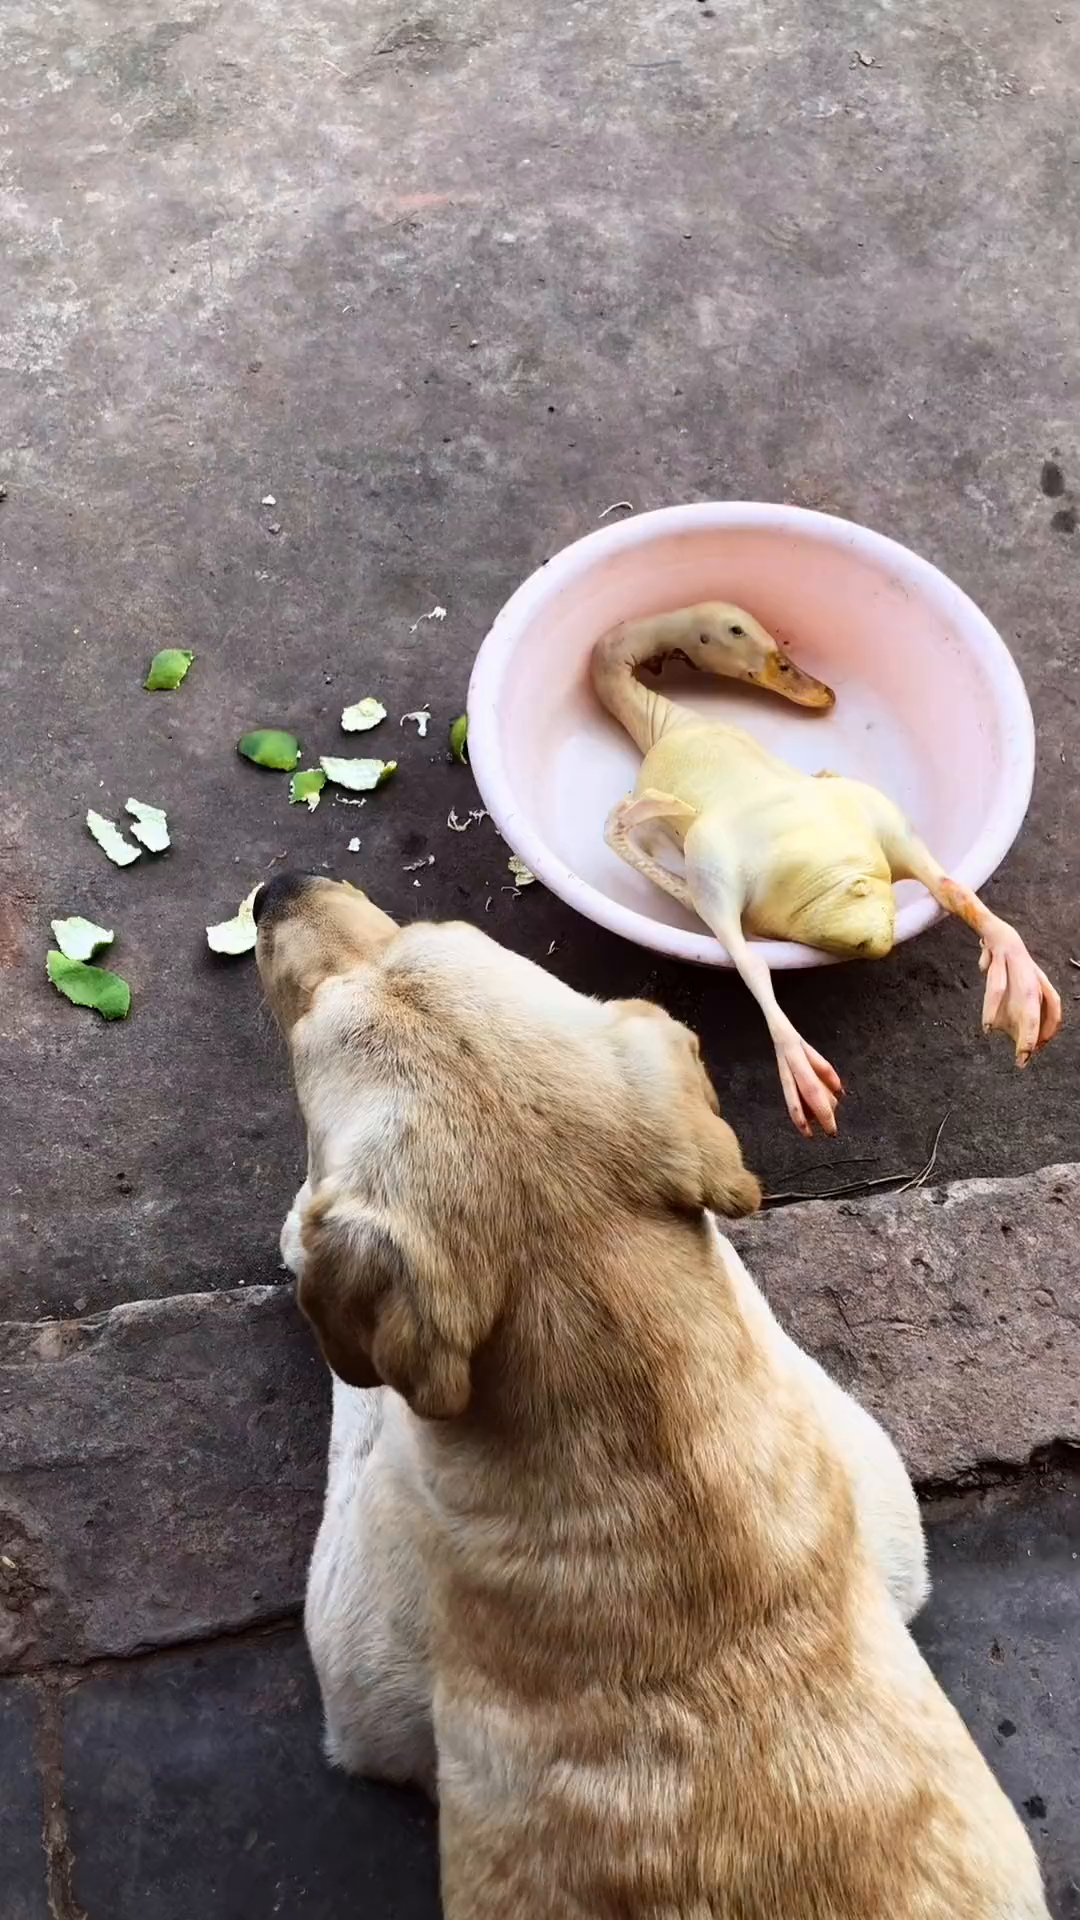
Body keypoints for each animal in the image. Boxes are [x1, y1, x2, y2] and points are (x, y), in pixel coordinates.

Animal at [253, 871, 1045, 1920]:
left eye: (309, 1031)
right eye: (439, 924)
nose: (277, 888)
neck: (644, 1441)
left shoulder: (356, 1672)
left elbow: (371, 1412)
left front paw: (306, 1242)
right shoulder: (889, 1527)